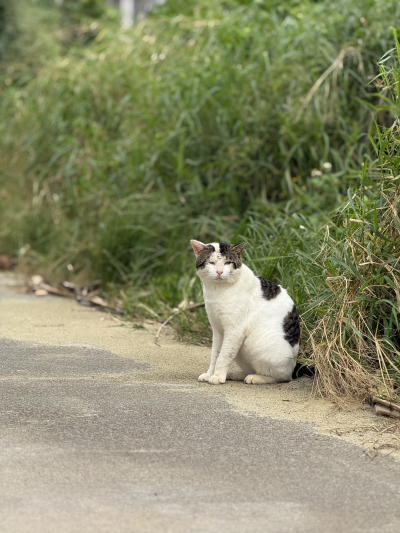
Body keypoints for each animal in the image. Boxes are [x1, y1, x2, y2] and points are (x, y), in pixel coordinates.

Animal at [190, 240, 300, 385]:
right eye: (211, 263)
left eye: (227, 262)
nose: (219, 271)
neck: (217, 291)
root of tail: (294, 365)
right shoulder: (217, 330)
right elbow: (215, 355)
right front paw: (210, 374)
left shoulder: (234, 331)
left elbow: (224, 356)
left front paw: (218, 376)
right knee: (250, 369)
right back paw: (236, 374)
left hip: (260, 349)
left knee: (282, 377)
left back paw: (257, 377)